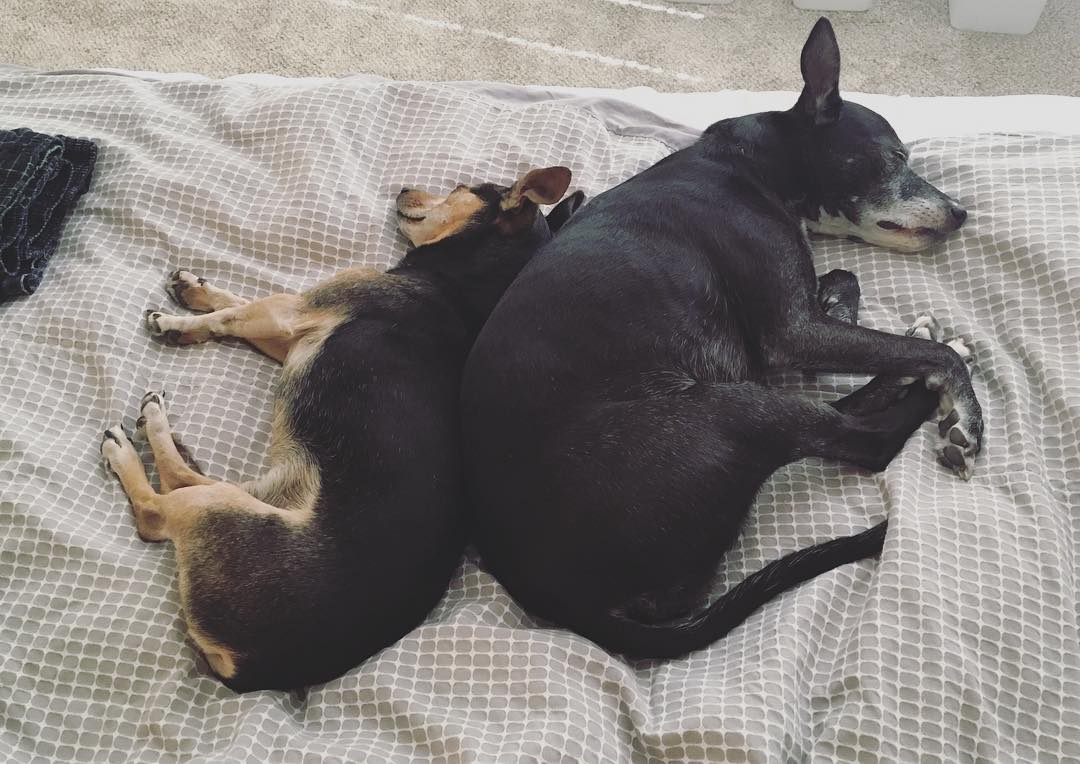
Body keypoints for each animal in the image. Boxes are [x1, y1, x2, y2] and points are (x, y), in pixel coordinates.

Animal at [101, 167, 583, 691]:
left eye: (459, 189)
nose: (403, 188)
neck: (468, 281)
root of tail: (253, 672)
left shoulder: (291, 312)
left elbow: (233, 314)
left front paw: (175, 322)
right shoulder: (287, 330)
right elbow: (234, 302)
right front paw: (194, 289)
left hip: (219, 511)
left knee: (156, 511)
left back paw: (135, 439)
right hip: (253, 496)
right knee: (184, 482)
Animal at [460, 20, 984, 661]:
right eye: (895, 158)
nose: (960, 213)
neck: (759, 162)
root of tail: (564, 603)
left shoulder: (796, 324)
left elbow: (844, 282)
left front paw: (846, 308)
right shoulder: (791, 331)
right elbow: (922, 350)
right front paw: (964, 408)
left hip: (730, 396)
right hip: (730, 407)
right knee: (865, 442)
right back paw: (922, 396)